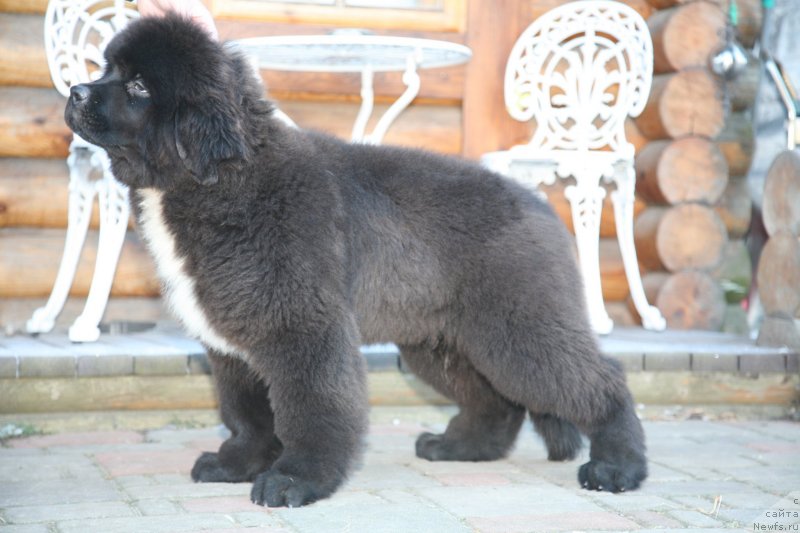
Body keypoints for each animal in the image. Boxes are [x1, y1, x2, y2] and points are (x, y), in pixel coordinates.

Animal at [65, 14, 648, 508]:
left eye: (139, 86)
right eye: (106, 69)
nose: (74, 91)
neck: (225, 180)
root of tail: (539, 207)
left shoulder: (299, 323)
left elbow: (311, 407)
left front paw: (295, 480)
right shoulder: (234, 338)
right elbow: (247, 414)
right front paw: (237, 465)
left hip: (517, 328)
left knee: (601, 382)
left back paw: (617, 467)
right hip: (442, 342)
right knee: (495, 401)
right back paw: (458, 448)